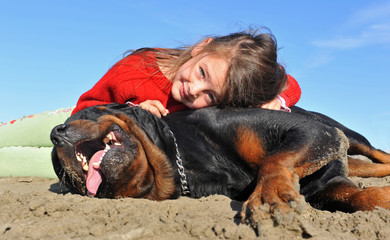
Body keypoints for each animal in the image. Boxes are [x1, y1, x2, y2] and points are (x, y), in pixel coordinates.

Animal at [51, 103, 390, 225]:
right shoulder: (326, 183)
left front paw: (269, 196)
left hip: (344, 133)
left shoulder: (312, 132)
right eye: (61, 172)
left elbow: (275, 159)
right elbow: (359, 197)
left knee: (379, 154)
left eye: (81, 114)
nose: (55, 133)